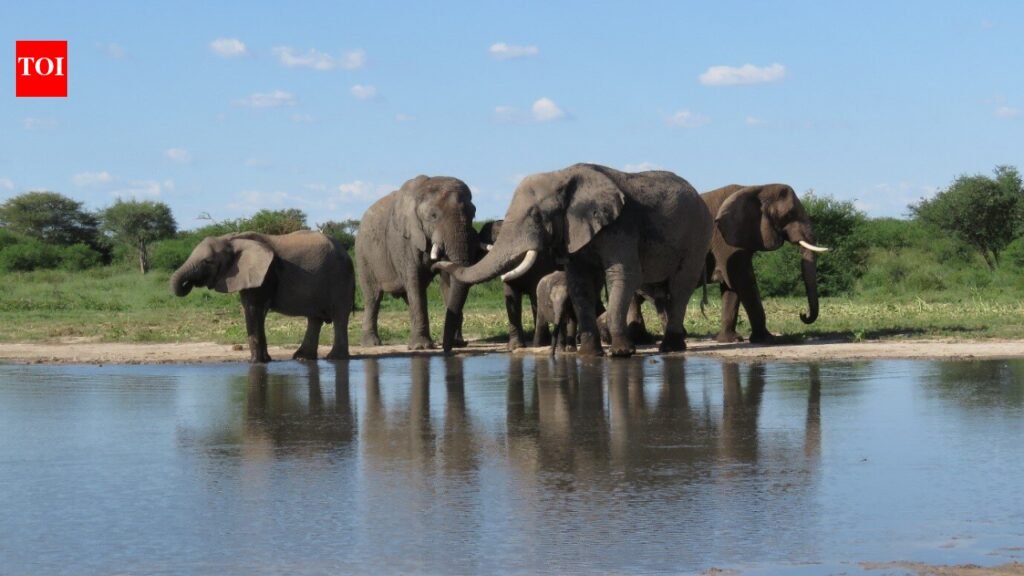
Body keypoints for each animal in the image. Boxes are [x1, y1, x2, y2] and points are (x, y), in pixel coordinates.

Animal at [170, 230, 355, 363]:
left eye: (208, 261)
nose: (189, 284)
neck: (232, 239)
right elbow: (255, 311)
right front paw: (265, 360)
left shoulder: (264, 274)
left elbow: (253, 309)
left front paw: (255, 362)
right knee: (314, 319)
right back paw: (302, 358)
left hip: (340, 277)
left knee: (339, 316)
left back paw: (334, 358)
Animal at [355, 175, 478, 351]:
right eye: (433, 216)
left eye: (473, 214)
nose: (446, 346)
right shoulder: (403, 240)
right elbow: (414, 280)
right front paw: (421, 347)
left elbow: (447, 281)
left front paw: (457, 344)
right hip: (363, 255)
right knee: (373, 297)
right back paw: (371, 344)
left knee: (409, 297)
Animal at [477, 220, 558, 349]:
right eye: (495, 241)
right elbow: (511, 296)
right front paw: (515, 347)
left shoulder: (542, 261)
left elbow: (536, 295)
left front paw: (543, 344)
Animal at [704, 184, 828, 343]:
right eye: (789, 215)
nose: (803, 314)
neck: (757, 188)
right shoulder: (725, 242)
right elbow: (743, 281)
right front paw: (766, 339)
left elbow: (731, 287)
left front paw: (730, 340)